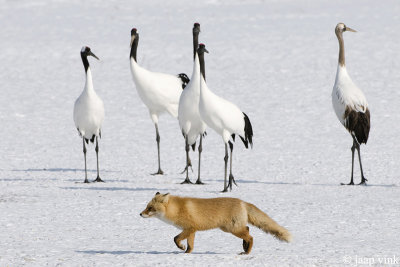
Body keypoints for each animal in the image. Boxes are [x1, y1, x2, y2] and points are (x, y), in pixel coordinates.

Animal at [141, 194, 290, 254]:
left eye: (150, 208)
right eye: (147, 207)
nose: (140, 214)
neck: (177, 209)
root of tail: (242, 202)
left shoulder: (190, 228)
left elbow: (176, 238)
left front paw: (181, 247)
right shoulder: (192, 230)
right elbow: (190, 245)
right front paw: (186, 253)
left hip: (232, 229)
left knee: (251, 236)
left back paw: (246, 252)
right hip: (230, 228)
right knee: (248, 230)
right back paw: (244, 246)